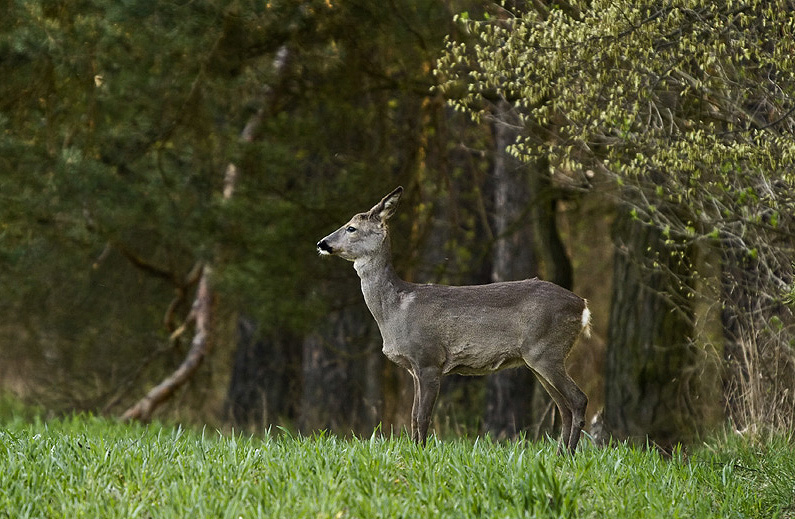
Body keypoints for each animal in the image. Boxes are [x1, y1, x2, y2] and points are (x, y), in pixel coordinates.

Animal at [318, 189, 592, 452]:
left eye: (351, 227)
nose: (322, 243)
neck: (395, 310)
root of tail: (583, 306)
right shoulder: (414, 368)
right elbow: (412, 417)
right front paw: (412, 451)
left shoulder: (429, 359)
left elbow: (422, 417)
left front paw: (420, 453)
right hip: (537, 360)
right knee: (564, 407)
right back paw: (560, 454)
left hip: (546, 351)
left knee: (578, 400)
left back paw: (569, 455)